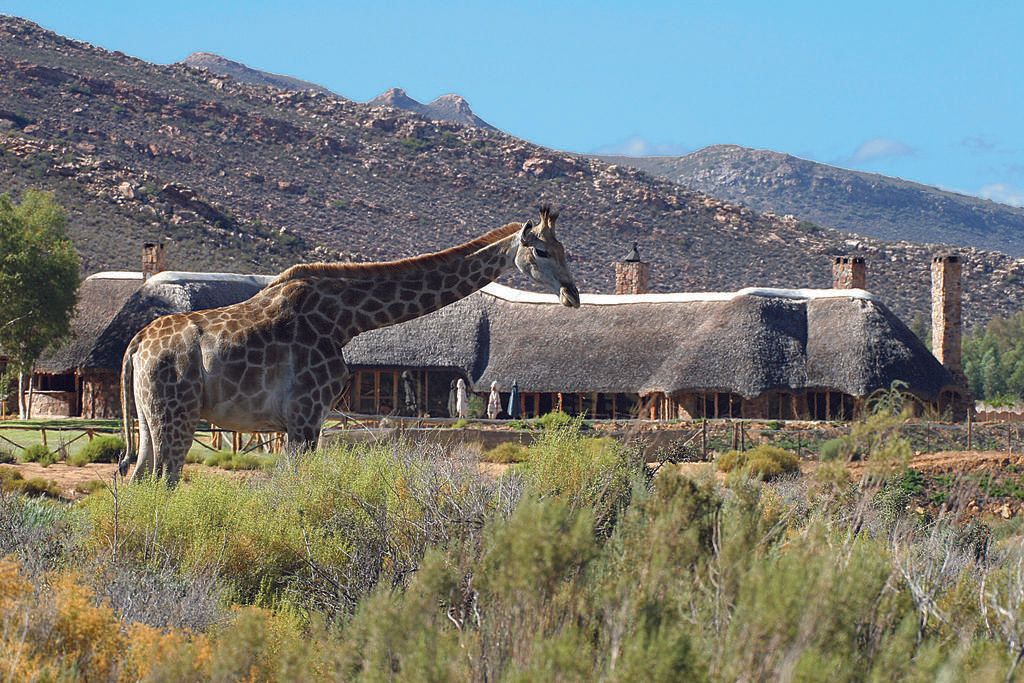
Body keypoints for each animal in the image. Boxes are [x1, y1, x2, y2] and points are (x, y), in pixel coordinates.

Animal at [118, 206, 579, 483]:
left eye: (564, 248)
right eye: (540, 250)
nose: (572, 295)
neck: (348, 320)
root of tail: (135, 345)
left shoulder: (307, 423)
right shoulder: (304, 419)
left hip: (148, 417)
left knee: (139, 477)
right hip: (176, 415)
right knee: (164, 480)